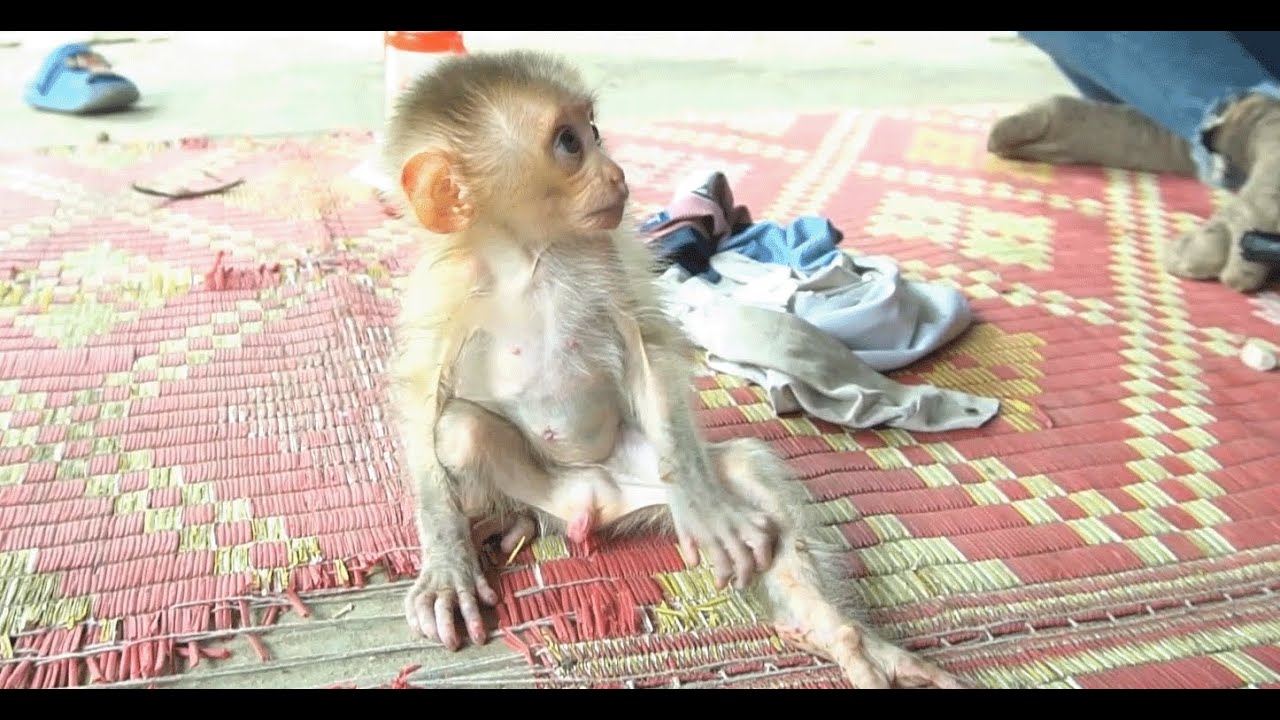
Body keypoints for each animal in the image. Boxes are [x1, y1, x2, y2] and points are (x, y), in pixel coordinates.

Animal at [382, 50, 965, 689]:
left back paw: (840, 633)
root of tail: (585, 510)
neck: (533, 254)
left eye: (593, 129)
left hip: (639, 479)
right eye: (568, 143)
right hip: (541, 488)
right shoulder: (444, 288)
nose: (616, 174)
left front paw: (708, 509)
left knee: (743, 465)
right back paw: (503, 523)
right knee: (460, 429)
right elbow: (421, 398)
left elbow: (650, 352)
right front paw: (447, 557)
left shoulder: (609, 253)